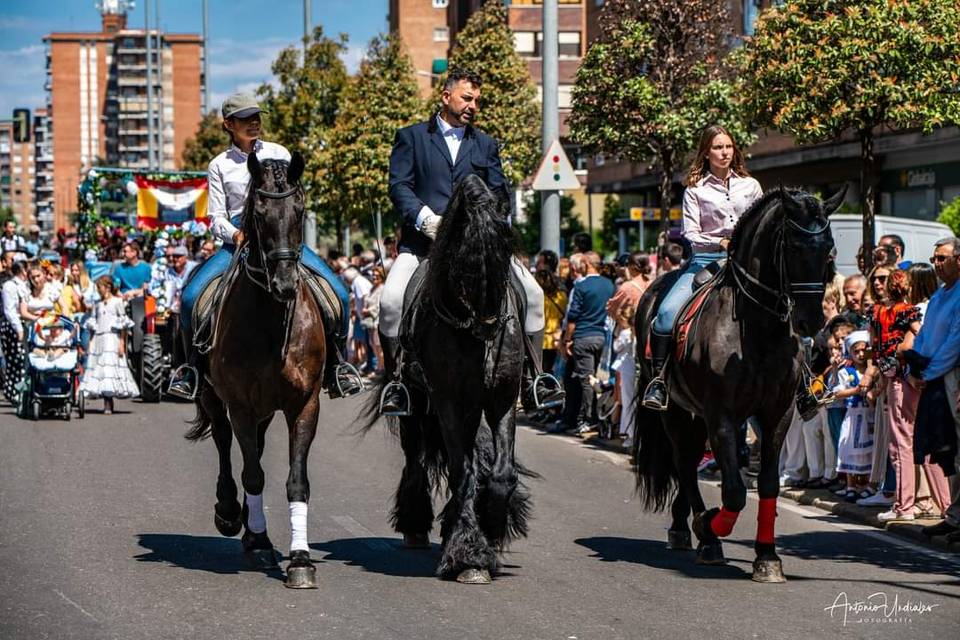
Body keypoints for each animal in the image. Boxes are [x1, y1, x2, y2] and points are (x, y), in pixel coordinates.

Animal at [366, 175, 532, 584]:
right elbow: (461, 470)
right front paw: (470, 553)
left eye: (504, 249)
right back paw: (416, 524)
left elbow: (500, 473)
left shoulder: (502, 400)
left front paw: (491, 526)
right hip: (414, 406)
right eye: (464, 255)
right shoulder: (449, 402)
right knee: (415, 458)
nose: (489, 327)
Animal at [632, 188, 844, 584]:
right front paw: (710, 531)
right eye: (793, 247)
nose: (810, 322)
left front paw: (767, 557)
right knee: (684, 463)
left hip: (696, 416)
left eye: (829, 250)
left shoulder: (778, 413)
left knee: (688, 464)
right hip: (677, 412)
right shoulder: (722, 415)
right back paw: (696, 531)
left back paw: (684, 526)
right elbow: (733, 491)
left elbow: (767, 484)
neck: (757, 329)